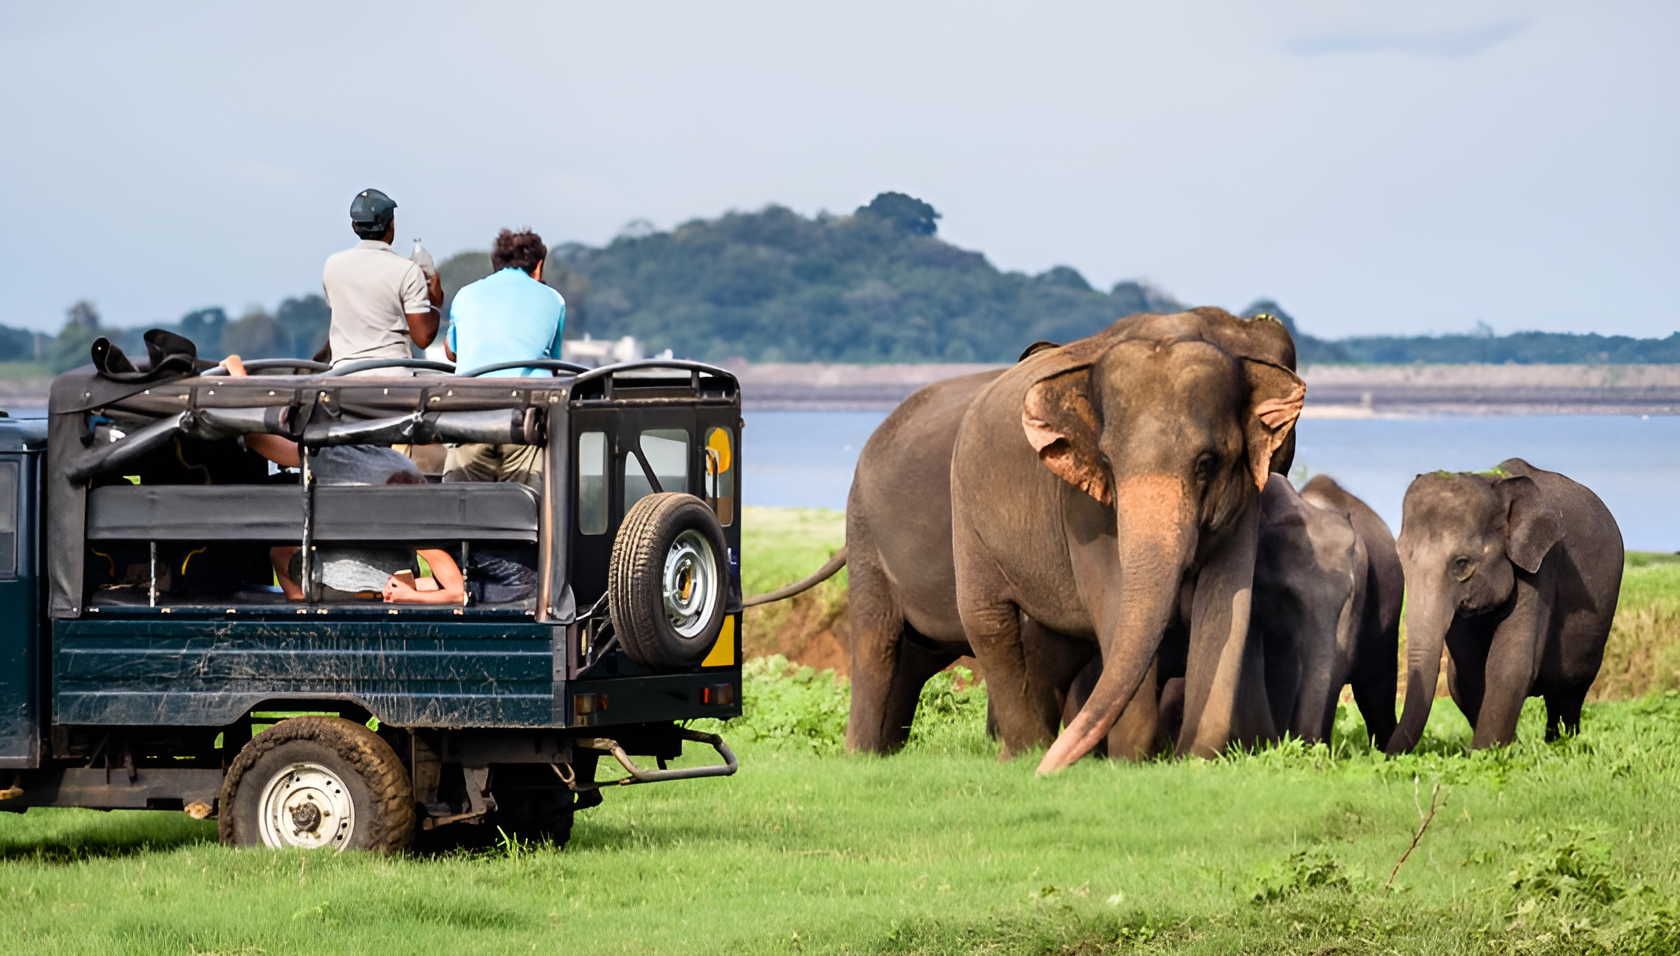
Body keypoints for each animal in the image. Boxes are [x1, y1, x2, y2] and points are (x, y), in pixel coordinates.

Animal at [954, 309, 1303, 772]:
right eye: (1107, 461)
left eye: (1206, 464)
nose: (1047, 774)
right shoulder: (1083, 506)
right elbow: (1116, 603)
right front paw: (1129, 762)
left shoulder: (1246, 495)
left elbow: (1226, 603)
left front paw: (1191, 758)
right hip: (966, 513)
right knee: (987, 620)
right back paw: (1025, 754)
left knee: (1051, 642)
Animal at [1384, 456, 1619, 752]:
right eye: (1401, 557)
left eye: (1462, 564)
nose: (1381, 753)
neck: (1495, 484)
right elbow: (1466, 673)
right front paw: (1501, 748)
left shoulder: (1542, 565)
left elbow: (1509, 663)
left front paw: (1485, 753)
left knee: (1568, 695)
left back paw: (1561, 745)